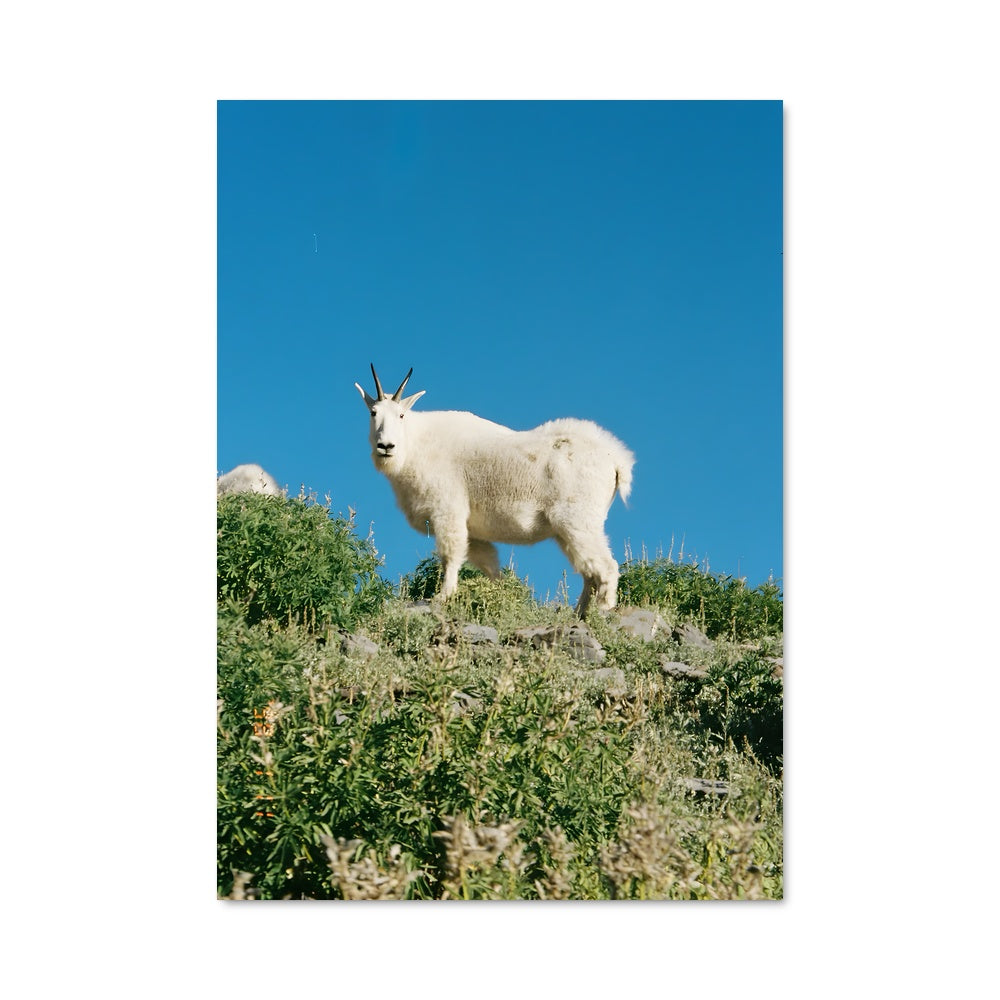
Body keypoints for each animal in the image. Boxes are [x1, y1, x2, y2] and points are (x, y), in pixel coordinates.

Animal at [355, 365, 634, 616]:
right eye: (373, 412)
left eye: (401, 415)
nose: (386, 446)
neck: (415, 445)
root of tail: (617, 462)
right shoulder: (473, 529)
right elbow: (489, 563)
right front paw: (504, 596)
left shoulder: (447, 510)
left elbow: (451, 554)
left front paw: (442, 596)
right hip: (566, 530)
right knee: (588, 571)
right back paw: (577, 614)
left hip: (578, 519)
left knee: (606, 566)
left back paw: (602, 611)